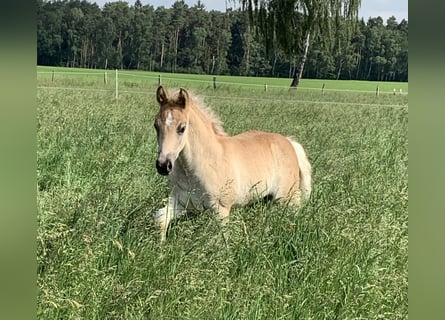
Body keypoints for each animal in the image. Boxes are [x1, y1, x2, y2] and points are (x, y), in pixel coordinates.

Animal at [151, 85, 310, 240]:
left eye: (182, 128)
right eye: (156, 125)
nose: (163, 166)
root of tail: (289, 142)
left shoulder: (221, 209)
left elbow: (222, 239)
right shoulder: (181, 201)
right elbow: (160, 220)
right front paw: (161, 246)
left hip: (287, 198)